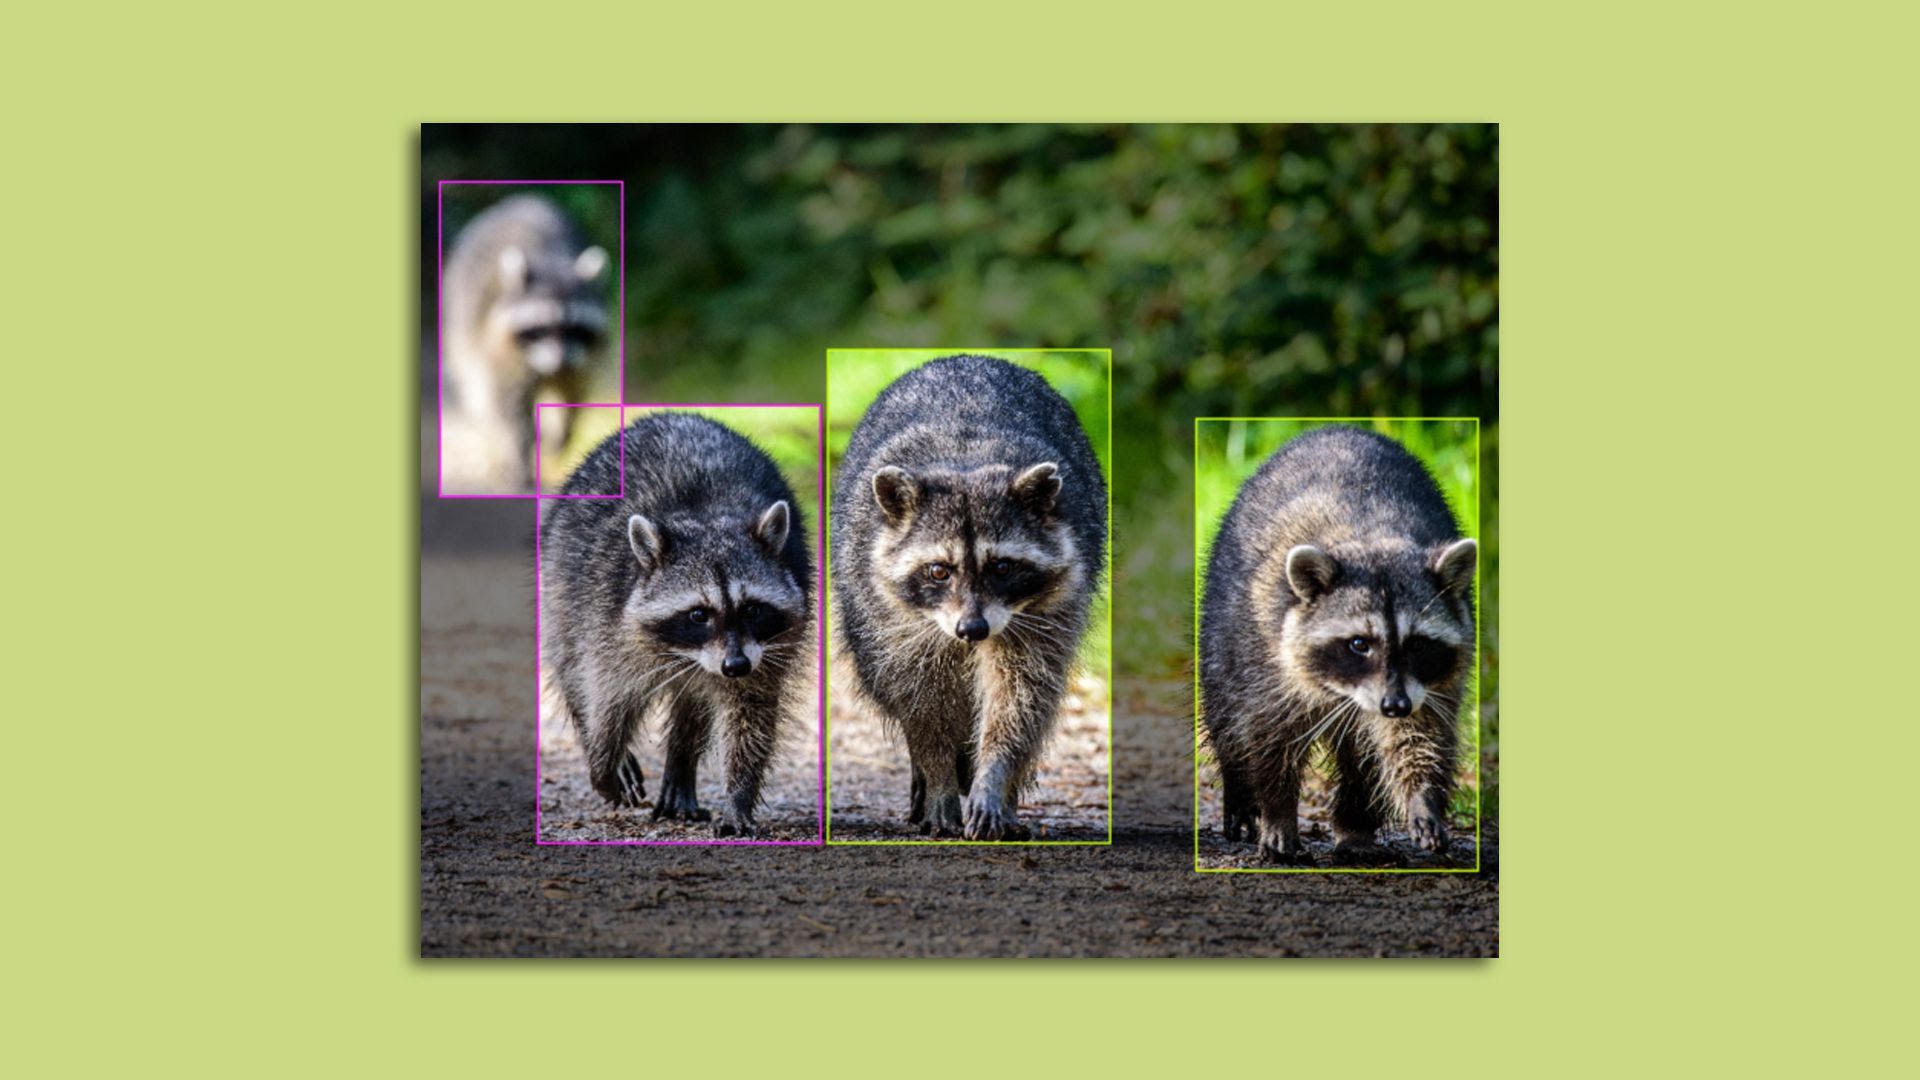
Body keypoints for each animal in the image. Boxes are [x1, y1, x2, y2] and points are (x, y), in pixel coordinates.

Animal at [443, 193, 610, 491]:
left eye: (575, 327)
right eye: (540, 328)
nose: (560, 361)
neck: (552, 259)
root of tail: (524, 199)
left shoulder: (584, 357)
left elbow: (574, 393)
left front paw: (563, 431)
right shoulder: (500, 349)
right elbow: (511, 408)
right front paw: (519, 454)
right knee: (480, 392)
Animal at [540, 413, 814, 837]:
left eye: (752, 609)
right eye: (698, 614)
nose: (735, 665)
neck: (707, 519)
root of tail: (674, 415)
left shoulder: (769, 648)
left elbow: (749, 717)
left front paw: (738, 796)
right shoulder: (606, 617)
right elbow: (606, 695)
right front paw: (603, 759)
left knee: (693, 706)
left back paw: (681, 765)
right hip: (560, 581)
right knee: (569, 663)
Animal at [832, 355, 1106, 840]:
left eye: (1002, 567)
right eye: (939, 570)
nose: (972, 629)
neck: (966, 462)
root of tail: (966, 358)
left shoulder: (1047, 610)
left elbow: (1021, 696)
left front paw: (994, 777)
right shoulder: (894, 621)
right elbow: (922, 704)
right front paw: (940, 776)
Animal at [1199, 426, 1476, 865]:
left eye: (1418, 644)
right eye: (1359, 643)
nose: (1394, 705)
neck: (1371, 536)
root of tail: (1334, 429)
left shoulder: (1432, 682)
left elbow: (1419, 734)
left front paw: (1422, 797)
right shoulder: (1266, 655)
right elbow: (1267, 733)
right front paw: (1277, 811)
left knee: (1363, 758)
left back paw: (1355, 827)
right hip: (1224, 627)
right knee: (1226, 710)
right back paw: (1240, 791)